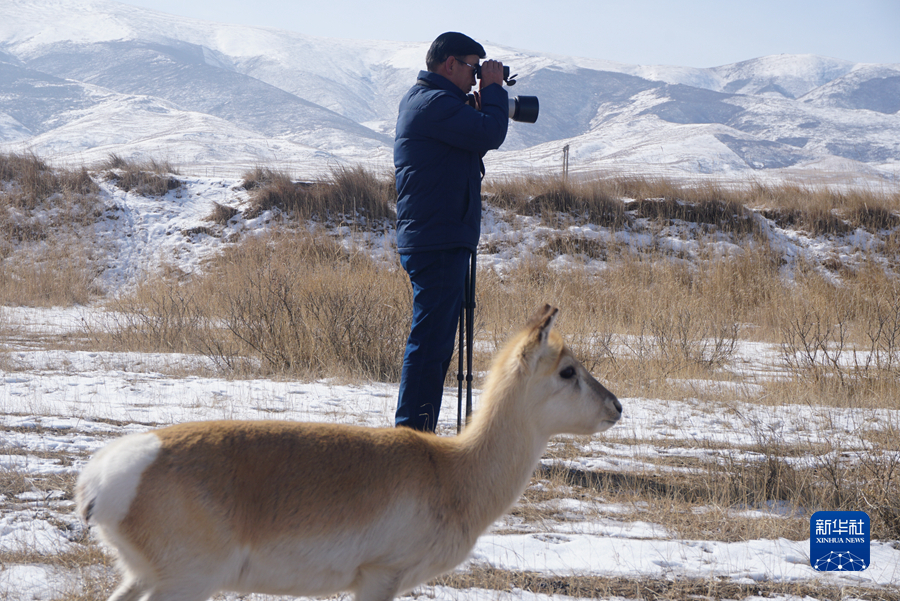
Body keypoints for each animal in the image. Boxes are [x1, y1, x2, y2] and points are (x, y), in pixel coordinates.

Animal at [76, 305, 621, 601]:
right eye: (568, 370)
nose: (617, 406)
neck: (450, 469)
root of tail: (103, 474)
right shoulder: (379, 578)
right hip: (185, 583)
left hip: (143, 578)